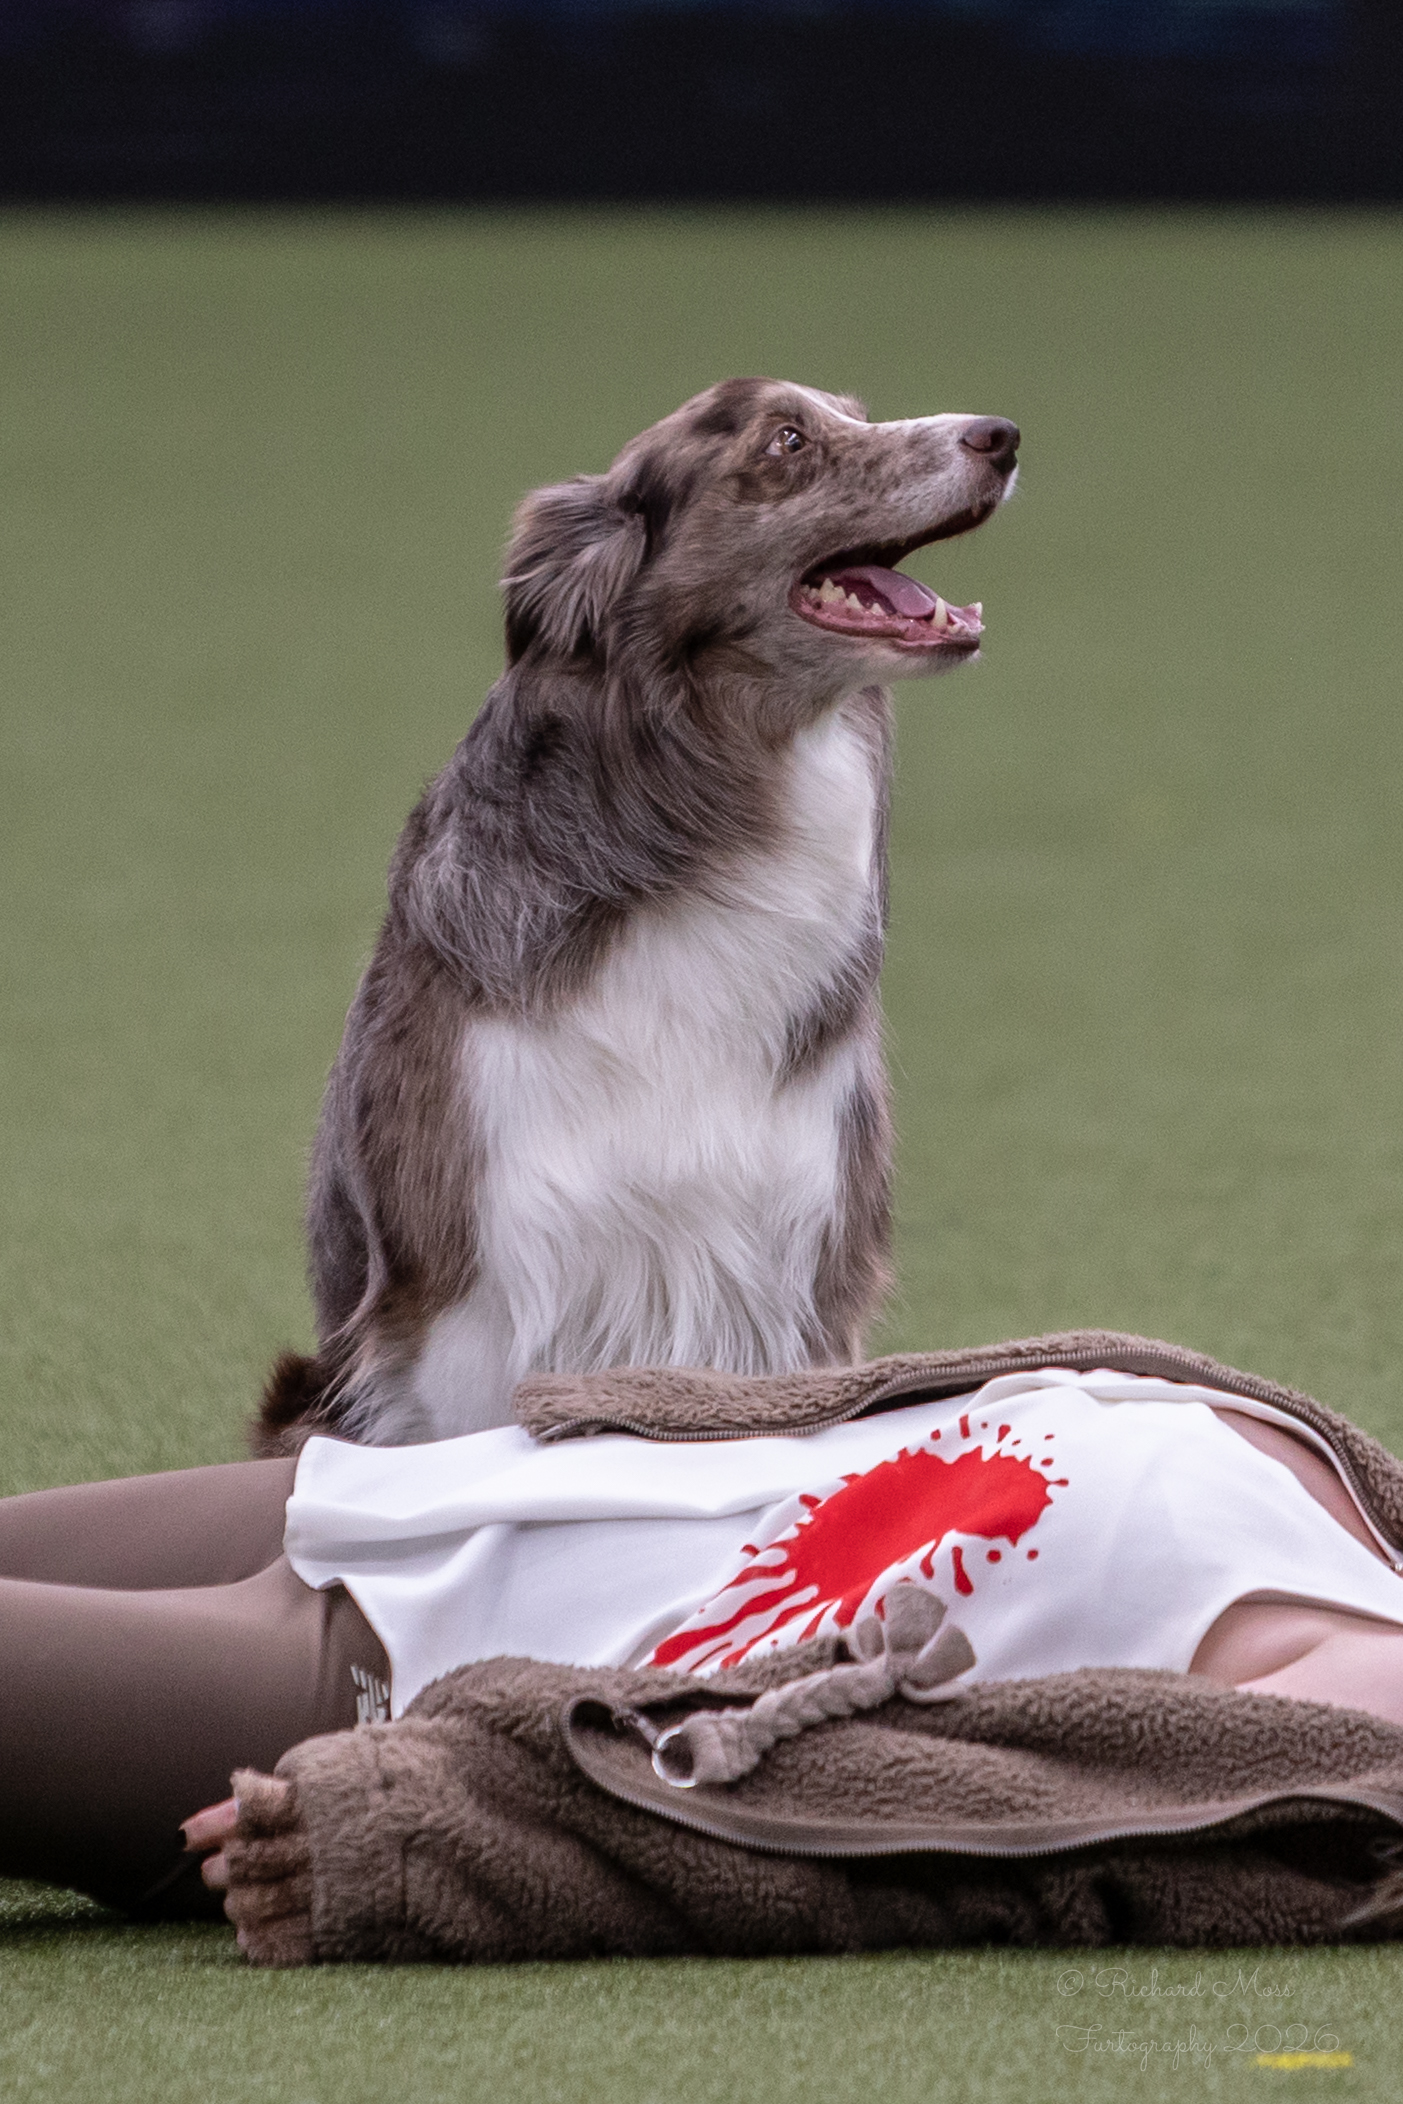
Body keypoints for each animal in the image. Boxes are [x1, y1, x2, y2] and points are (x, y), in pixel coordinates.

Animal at [258, 378, 1019, 1451]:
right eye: (787, 440)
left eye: (856, 411)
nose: (1001, 435)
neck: (707, 828)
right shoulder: (475, 1287)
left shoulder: (795, 1265)